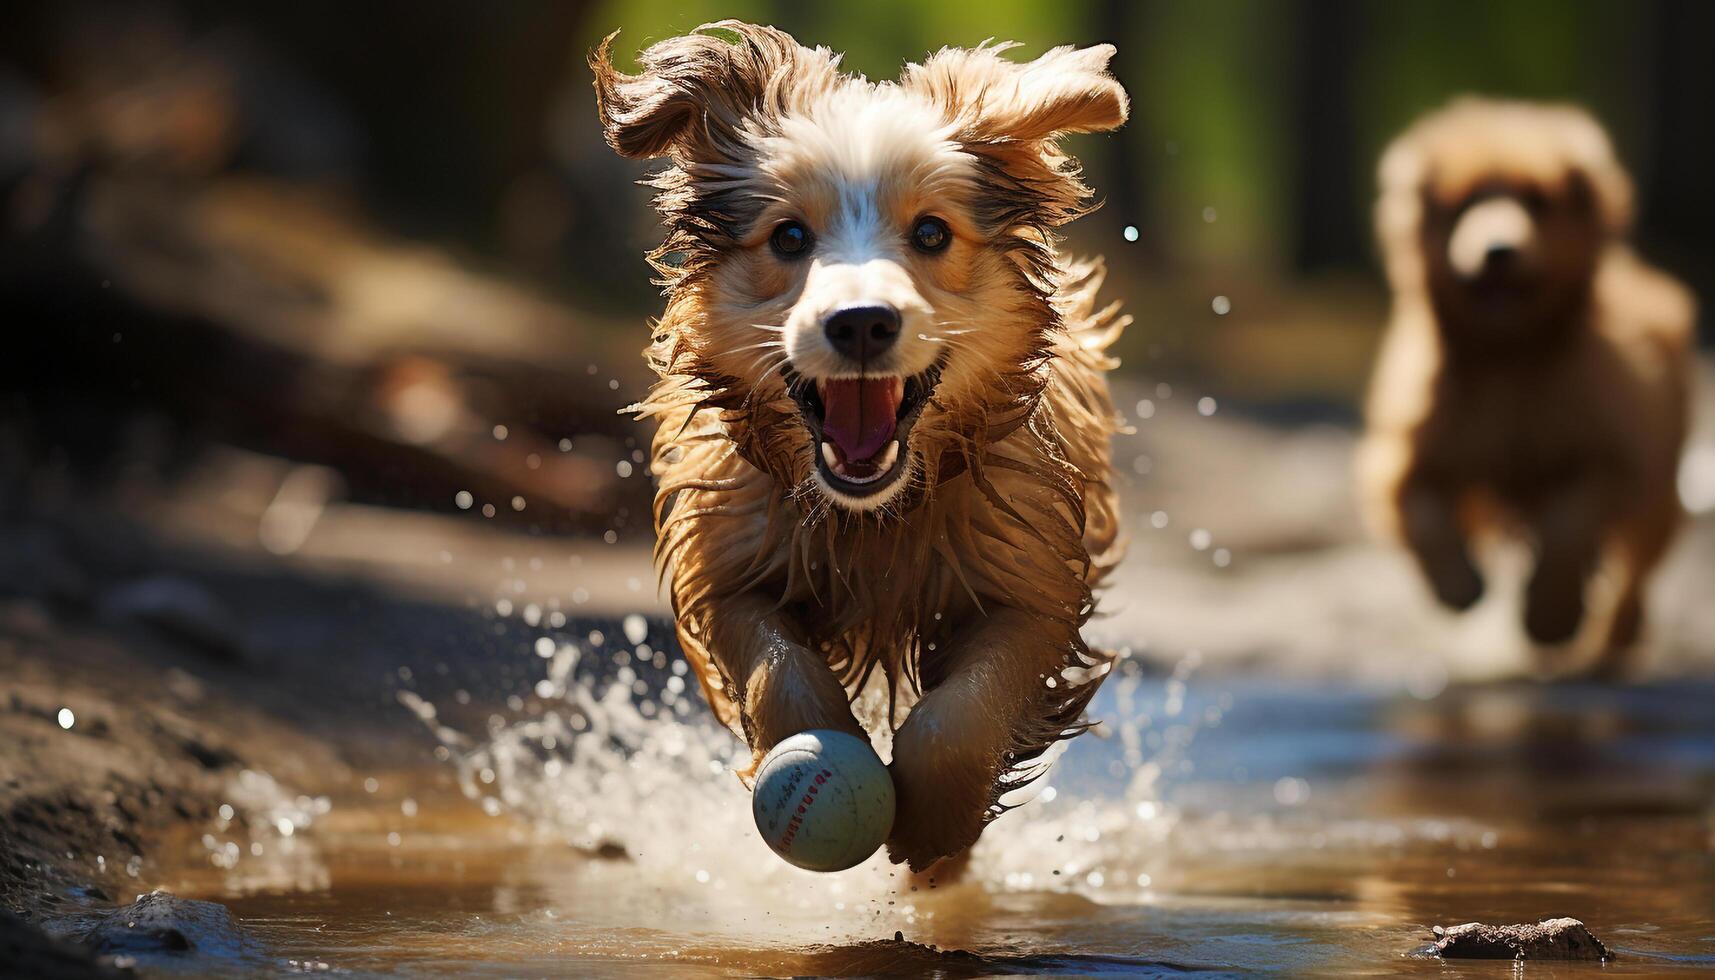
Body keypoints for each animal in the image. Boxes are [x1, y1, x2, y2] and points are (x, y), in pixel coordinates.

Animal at [589, 21, 1125, 865]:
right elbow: (777, 671)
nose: (863, 322)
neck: (873, 519)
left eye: (931, 231)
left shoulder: (1031, 576)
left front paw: (937, 828)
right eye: (789, 236)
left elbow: (964, 713)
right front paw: (818, 744)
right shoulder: (730, 558)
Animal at [1358, 101, 1694, 683]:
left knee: (1632, 575)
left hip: (1658, 493)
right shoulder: (1408, 452)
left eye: (1538, 201)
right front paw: (1457, 585)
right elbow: (1423, 512)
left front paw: (1551, 616)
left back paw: (1611, 637)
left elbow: (1569, 524)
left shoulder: (1614, 458)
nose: (1499, 250)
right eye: (1463, 205)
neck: (1508, 362)